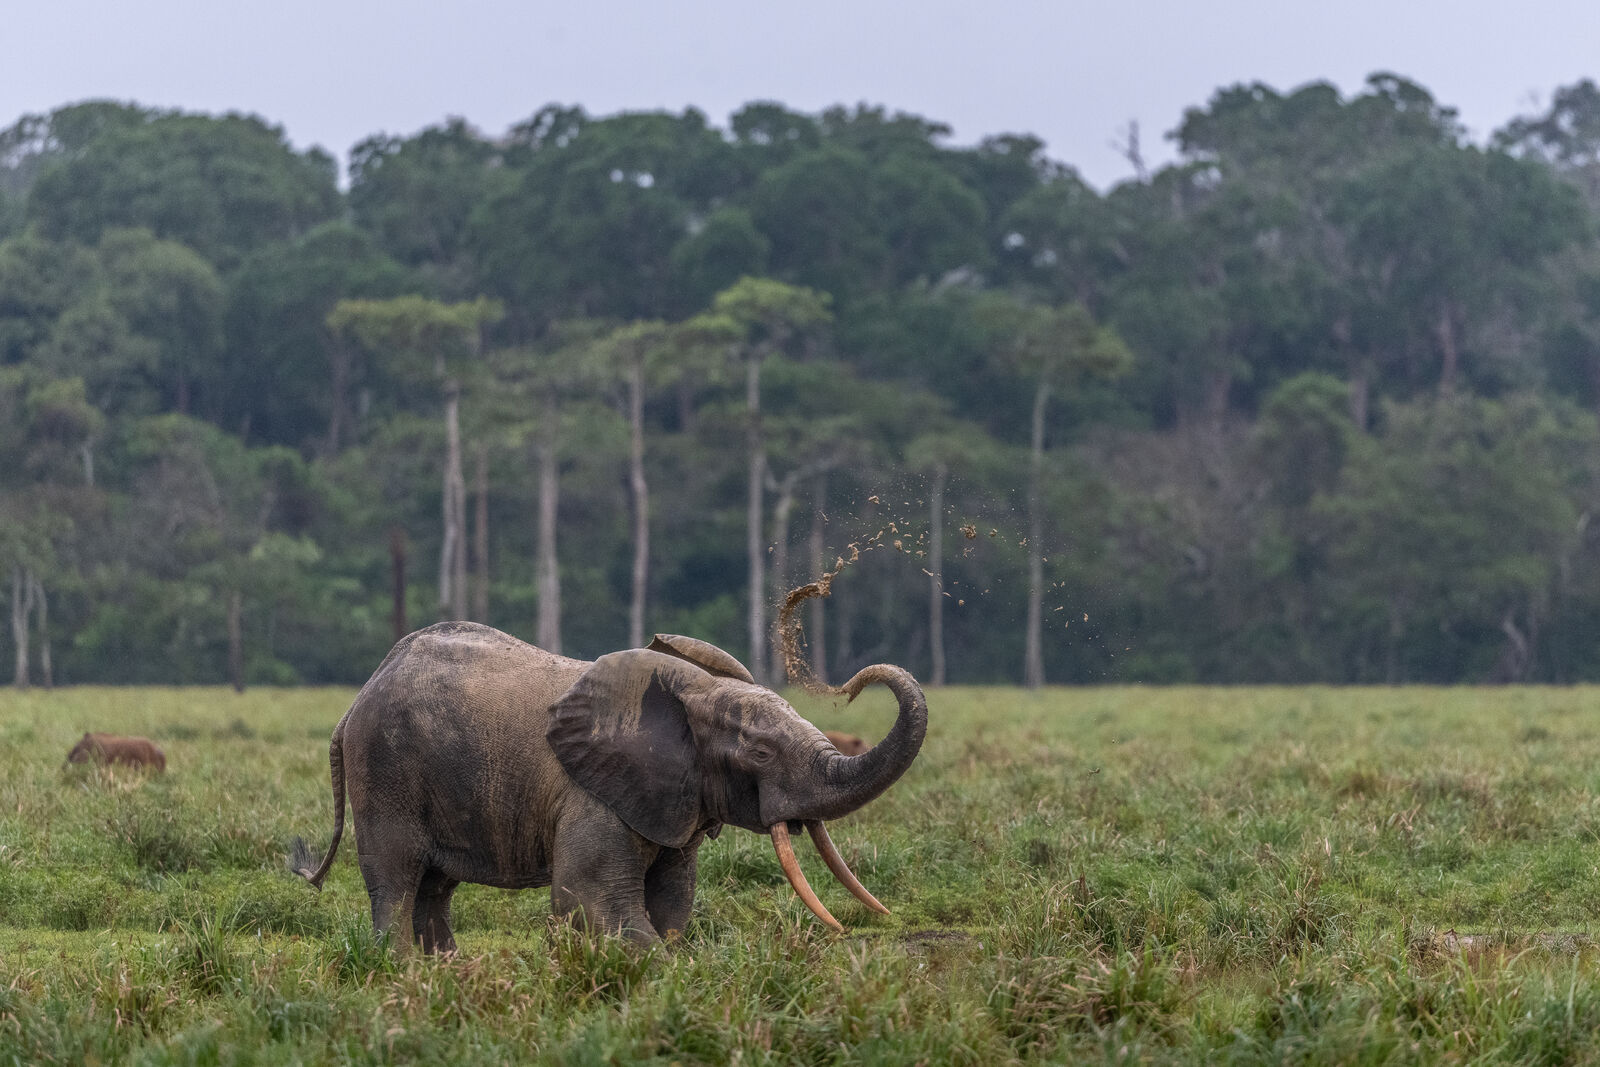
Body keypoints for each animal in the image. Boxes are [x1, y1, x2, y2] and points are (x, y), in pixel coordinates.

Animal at [294, 627, 934, 953]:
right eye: (759, 752)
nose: (851, 684)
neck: (694, 691)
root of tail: (352, 705)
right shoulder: (592, 794)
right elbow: (589, 897)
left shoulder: (673, 798)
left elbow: (672, 898)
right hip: (385, 771)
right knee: (398, 878)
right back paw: (404, 971)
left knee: (434, 885)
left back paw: (445, 970)